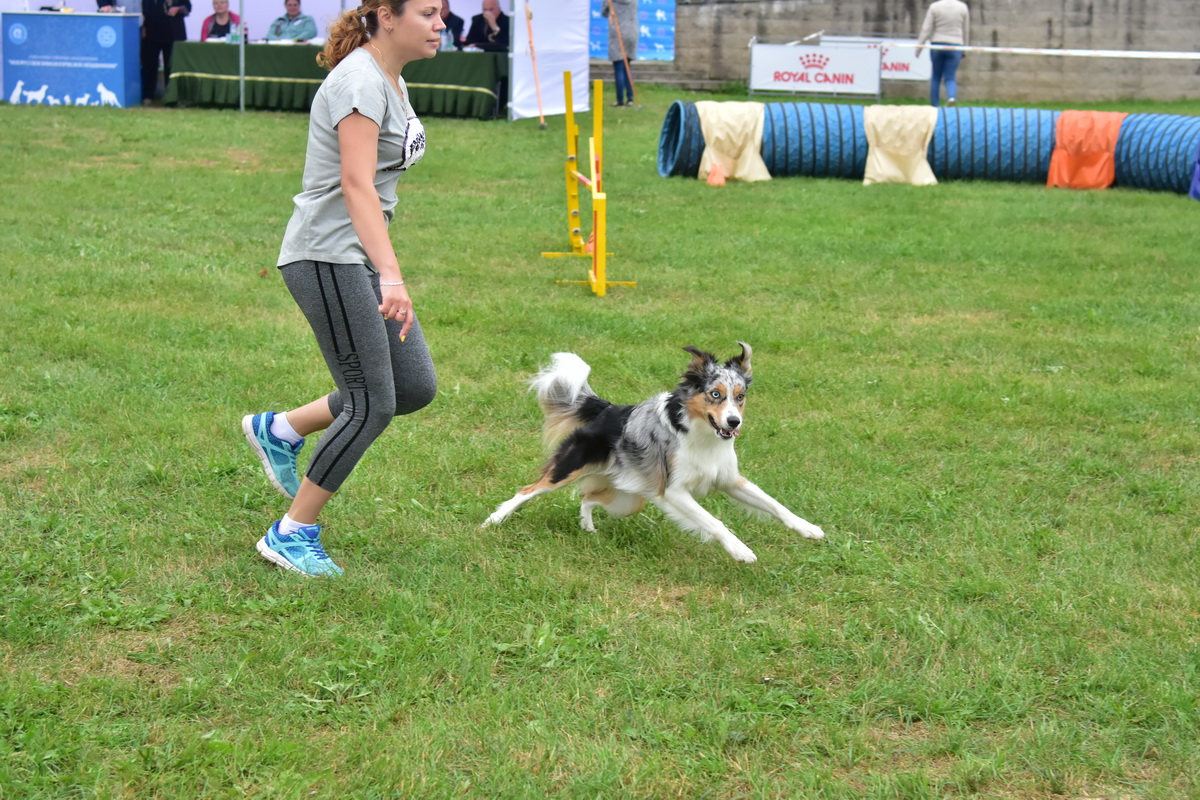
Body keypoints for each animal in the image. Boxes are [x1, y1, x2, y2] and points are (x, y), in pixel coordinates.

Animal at [482, 343, 825, 563]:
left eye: (740, 397)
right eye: (715, 394)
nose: (733, 422)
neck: (702, 435)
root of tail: (610, 409)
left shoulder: (729, 480)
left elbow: (775, 504)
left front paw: (808, 528)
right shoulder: (673, 491)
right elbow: (714, 522)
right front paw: (740, 550)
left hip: (629, 498)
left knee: (587, 498)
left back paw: (588, 526)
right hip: (571, 468)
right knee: (528, 490)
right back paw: (493, 520)